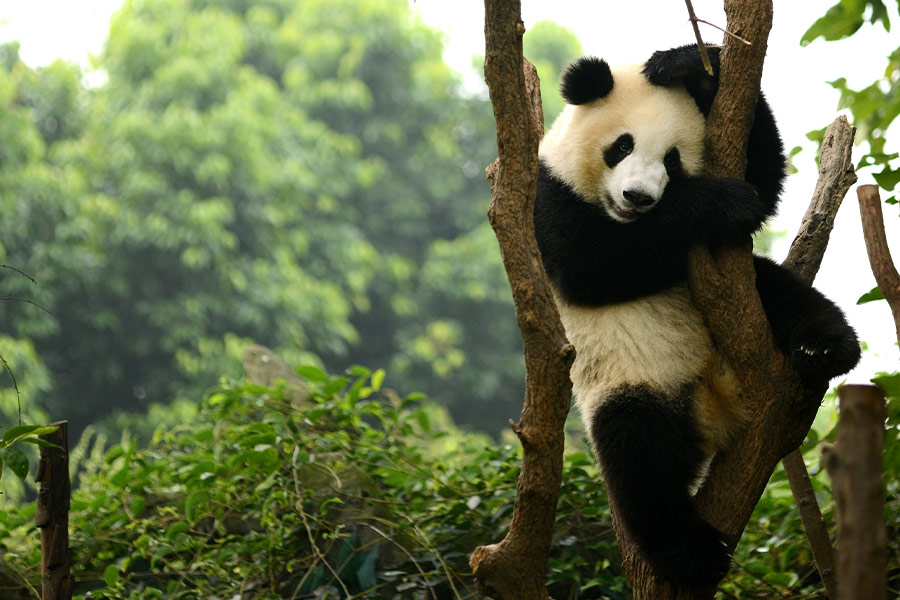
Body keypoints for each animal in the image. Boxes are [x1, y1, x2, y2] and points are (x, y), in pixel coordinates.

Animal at [533, 45, 860, 586]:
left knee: (781, 290)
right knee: (640, 457)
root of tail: (716, 408)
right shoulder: (546, 197)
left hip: (751, 303)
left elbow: (763, 175)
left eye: (673, 160)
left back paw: (827, 347)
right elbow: (589, 263)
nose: (638, 197)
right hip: (632, 380)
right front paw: (720, 202)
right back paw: (693, 555)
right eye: (621, 146)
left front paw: (688, 65)